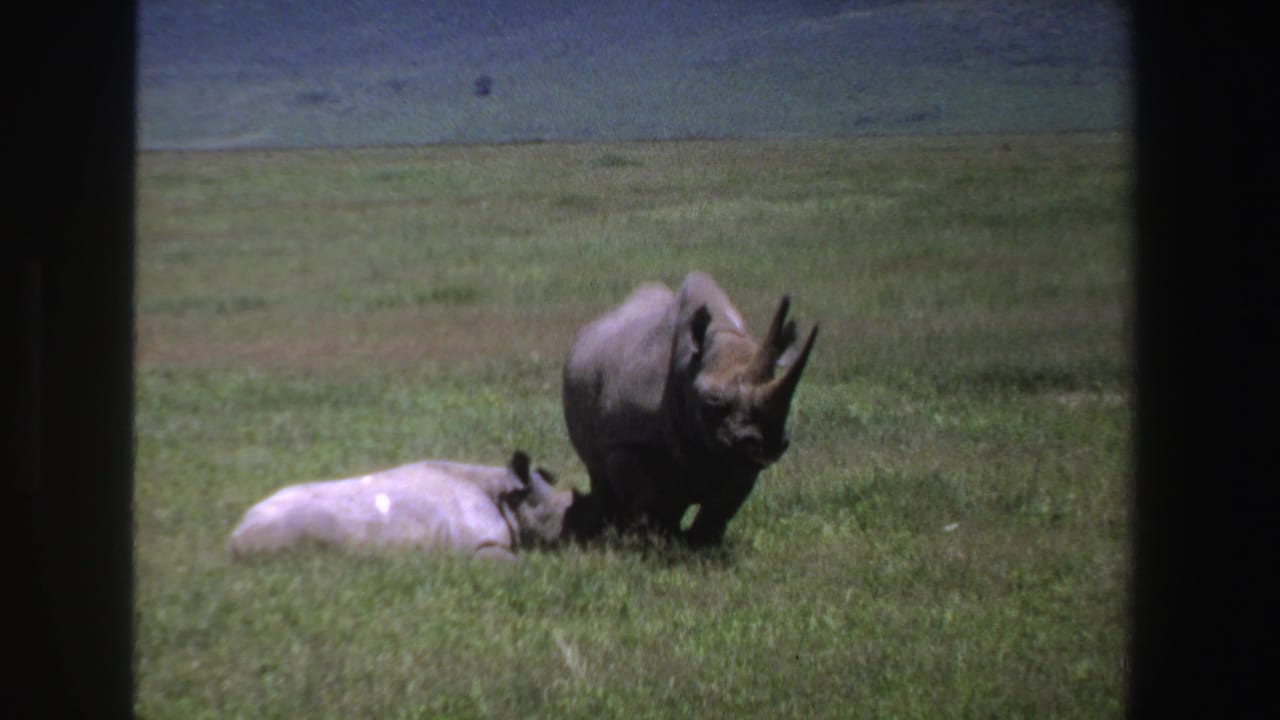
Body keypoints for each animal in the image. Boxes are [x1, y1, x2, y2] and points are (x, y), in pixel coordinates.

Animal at [563, 271, 817, 546]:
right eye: (713, 401)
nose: (768, 443)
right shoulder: (626, 441)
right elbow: (646, 498)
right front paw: (654, 542)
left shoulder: (743, 456)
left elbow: (722, 506)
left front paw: (701, 546)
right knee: (601, 475)